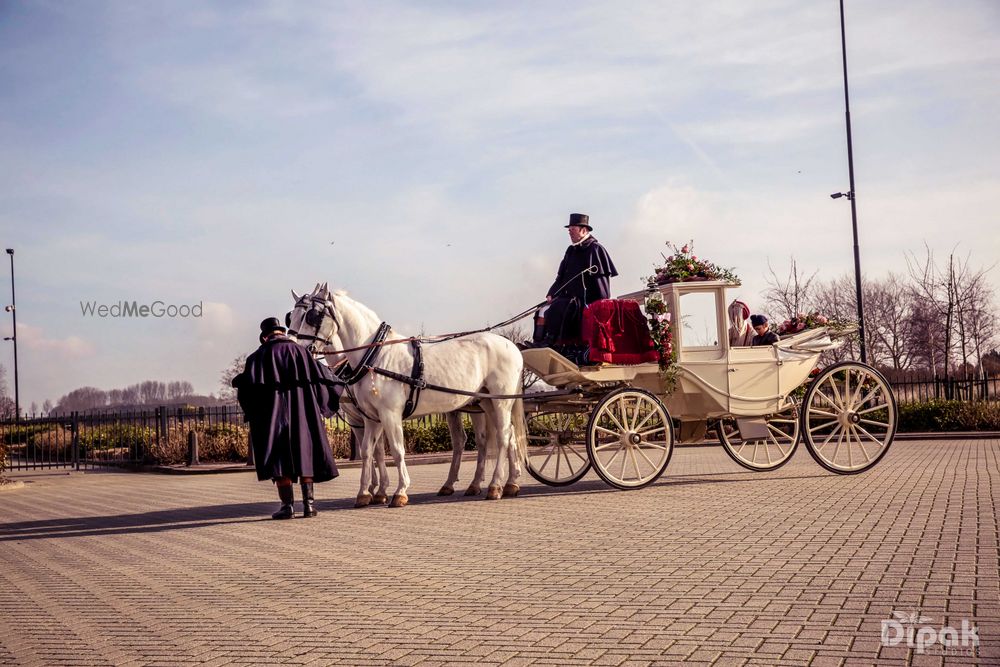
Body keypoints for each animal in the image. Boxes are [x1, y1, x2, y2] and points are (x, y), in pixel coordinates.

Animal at [288, 284, 528, 508]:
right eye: (292, 316)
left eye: (312, 316)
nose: (299, 349)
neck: (376, 355)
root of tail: (511, 344)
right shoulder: (370, 418)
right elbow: (368, 451)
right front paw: (365, 493)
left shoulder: (389, 414)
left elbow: (396, 450)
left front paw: (399, 491)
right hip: (486, 402)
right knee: (504, 437)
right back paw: (508, 483)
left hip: (501, 401)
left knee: (503, 437)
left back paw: (495, 485)